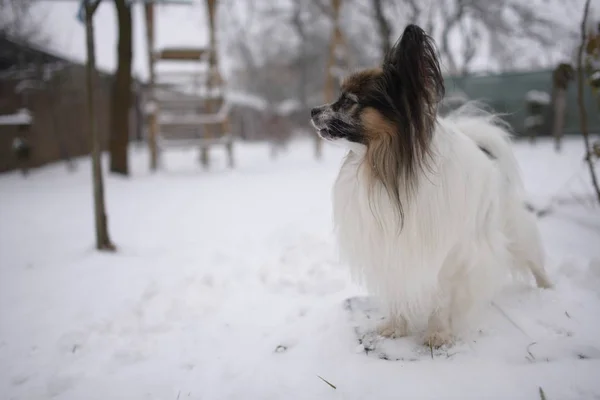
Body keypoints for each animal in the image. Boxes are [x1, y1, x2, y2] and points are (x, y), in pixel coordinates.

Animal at [312, 24, 552, 346]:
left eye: (349, 101)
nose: (312, 111)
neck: (394, 171)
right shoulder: (392, 247)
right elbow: (397, 288)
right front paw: (396, 326)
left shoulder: (450, 253)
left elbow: (442, 295)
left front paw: (438, 332)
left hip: (509, 226)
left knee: (531, 254)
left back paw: (547, 288)